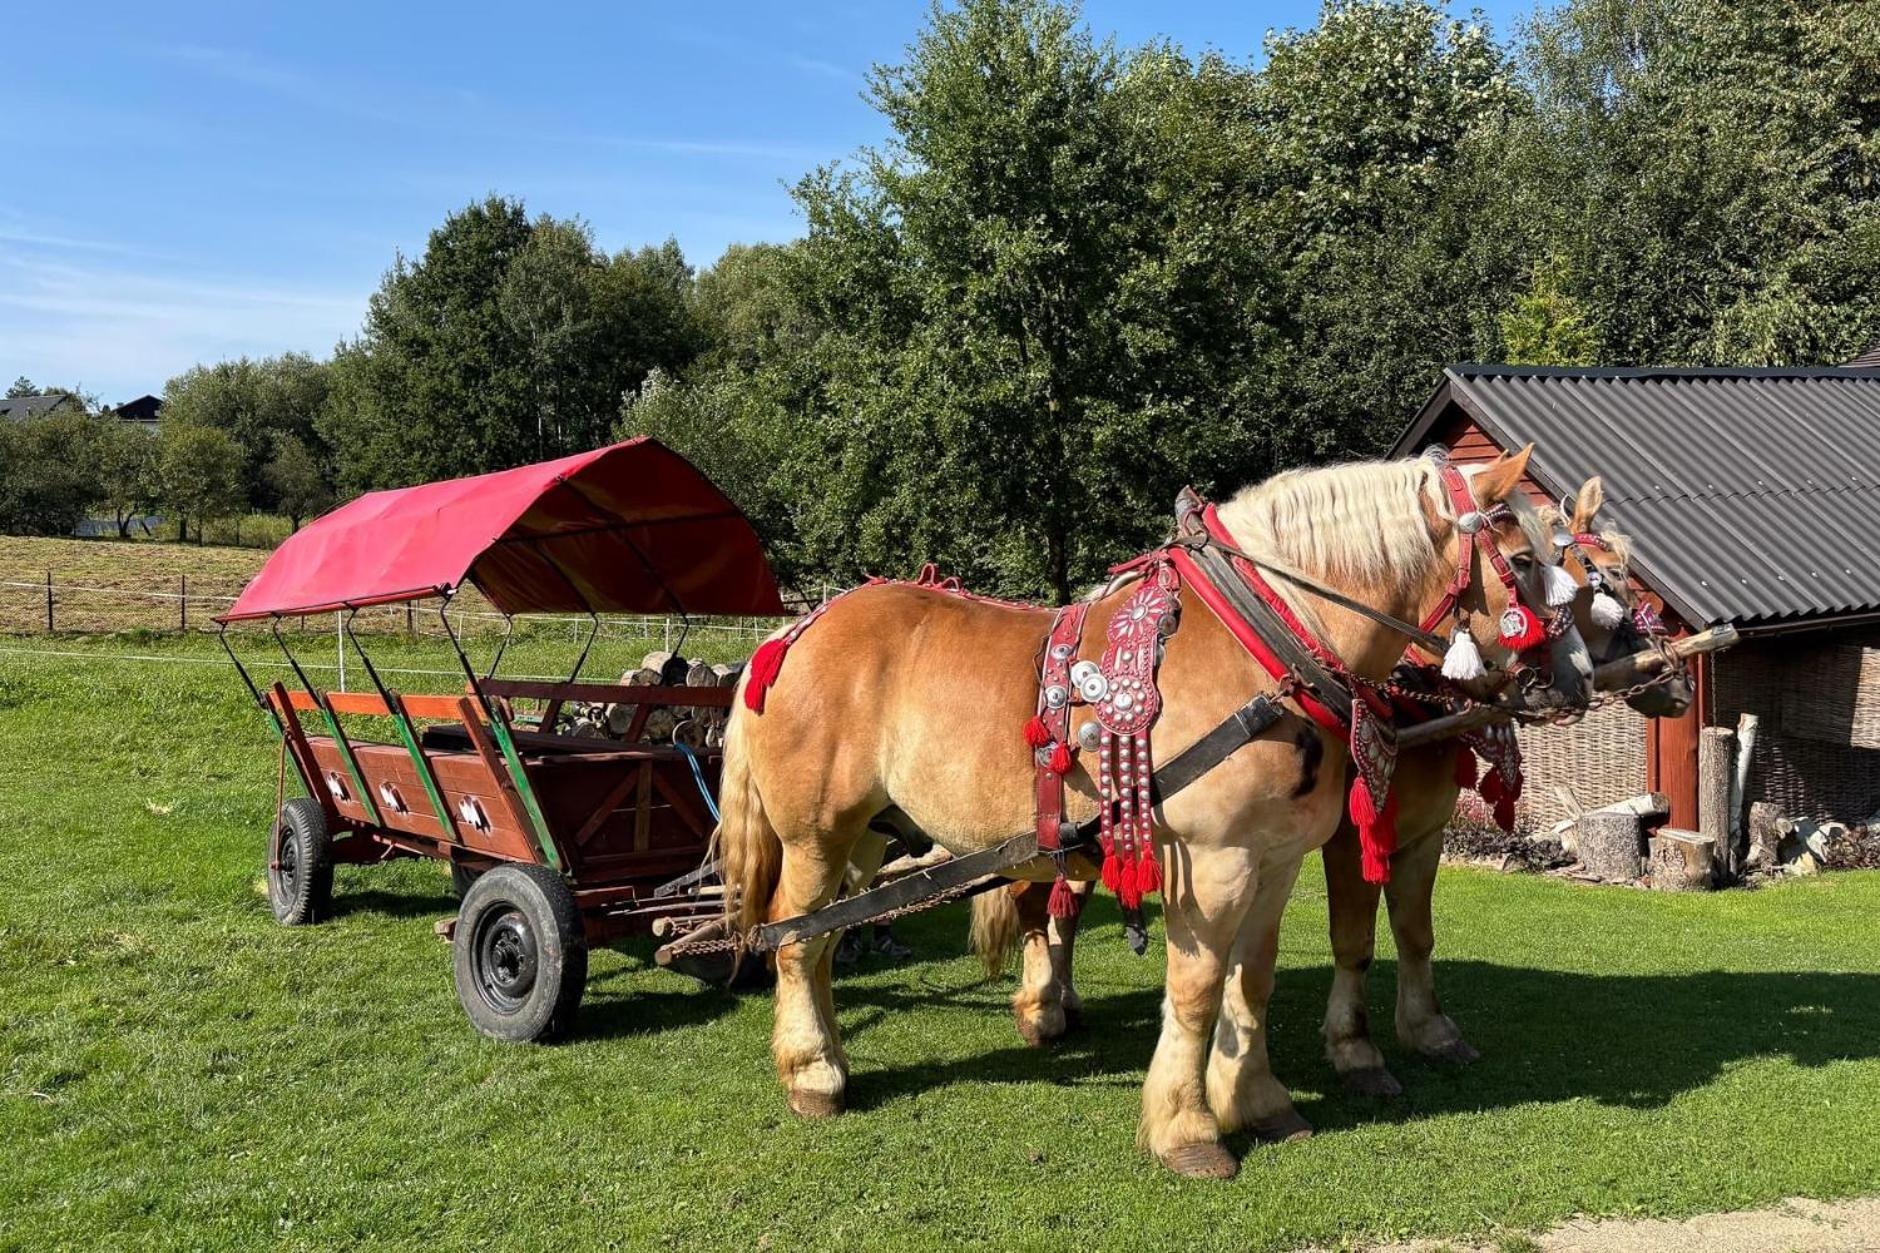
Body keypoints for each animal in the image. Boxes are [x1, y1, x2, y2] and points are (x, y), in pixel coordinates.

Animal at [718, 445, 1586, 1173]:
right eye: (1521, 559)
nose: (1576, 676)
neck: (1263, 644)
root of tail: (794, 630)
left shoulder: (1275, 859)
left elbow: (1253, 980)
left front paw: (1260, 1102)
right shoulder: (1212, 861)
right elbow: (1198, 990)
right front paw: (1188, 1129)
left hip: (867, 837)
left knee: (823, 940)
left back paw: (828, 1055)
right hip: (816, 833)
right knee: (796, 938)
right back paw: (814, 1074)